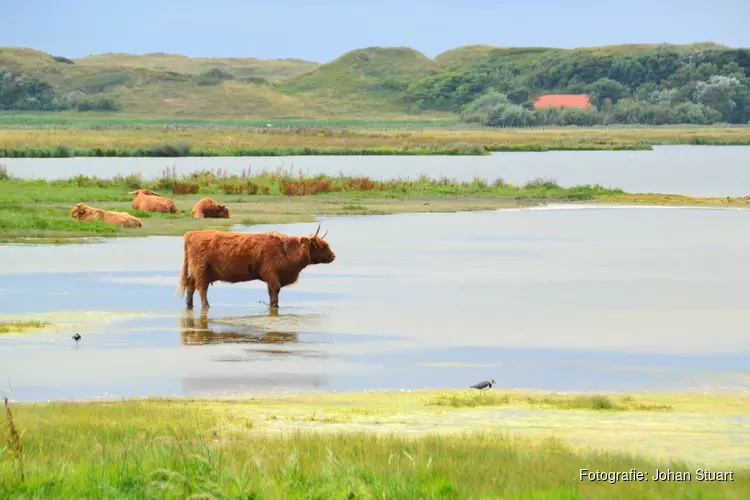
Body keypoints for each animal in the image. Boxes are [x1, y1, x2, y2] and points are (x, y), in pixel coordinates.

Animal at [178, 223, 336, 308]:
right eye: (322, 245)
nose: (333, 256)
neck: (286, 250)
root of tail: (192, 233)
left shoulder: (271, 277)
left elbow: (271, 292)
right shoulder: (270, 273)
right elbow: (275, 290)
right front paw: (275, 306)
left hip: (199, 271)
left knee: (190, 285)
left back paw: (189, 305)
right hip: (201, 269)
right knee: (202, 288)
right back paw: (206, 306)